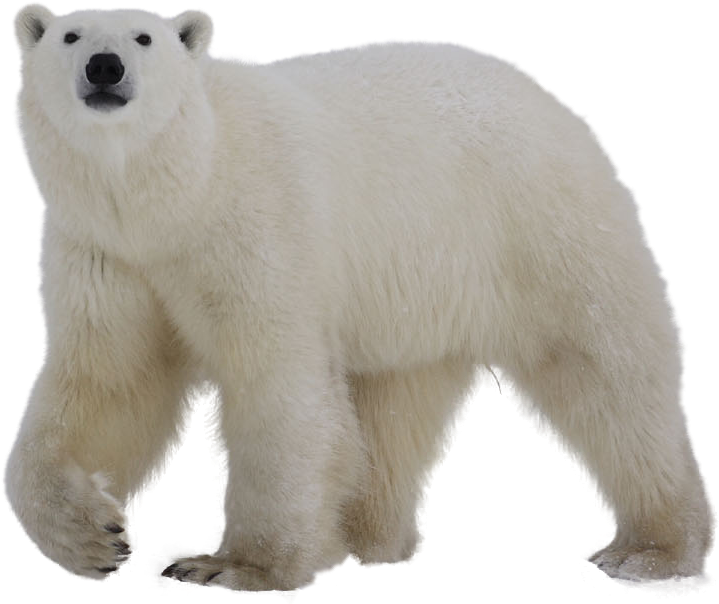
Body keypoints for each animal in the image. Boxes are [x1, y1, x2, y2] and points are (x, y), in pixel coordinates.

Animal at [5, 1, 716, 597]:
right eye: (70, 35)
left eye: (143, 37)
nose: (104, 66)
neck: (178, 195)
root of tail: (557, 100)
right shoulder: (109, 252)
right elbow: (110, 382)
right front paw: (91, 536)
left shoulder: (254, 225)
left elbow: (276, 383)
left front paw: (232, 564)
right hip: (418, 293)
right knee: (394, 407)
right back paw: (367, 537)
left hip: (538, 224)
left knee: (605, 371)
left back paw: (653, 552)